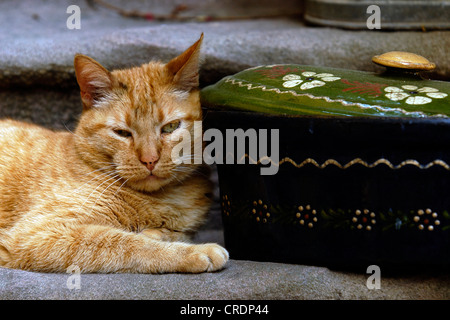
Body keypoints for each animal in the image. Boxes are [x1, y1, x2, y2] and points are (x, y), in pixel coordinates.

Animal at [0, 33, 227, 272]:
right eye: (122, 133)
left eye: (170, 127)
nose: (150, 160)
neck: (164, 199)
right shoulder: (41, 232)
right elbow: (129, 244)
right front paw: (195, 251)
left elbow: (173, 233)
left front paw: (162, 233)